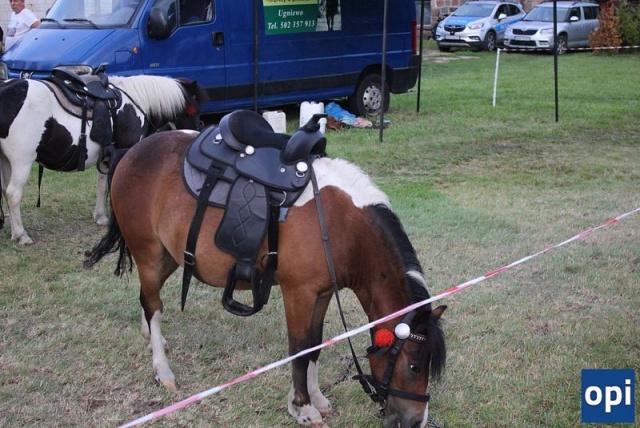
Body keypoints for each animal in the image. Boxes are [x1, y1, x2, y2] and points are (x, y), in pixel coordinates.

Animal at [0, 73, 207, 245]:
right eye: (195, 109)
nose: (198, 131)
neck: (135, 103)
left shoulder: (107, 159)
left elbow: (102, 186)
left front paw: (100, 217)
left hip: (6, 162)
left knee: (4, 192)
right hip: (22, 162)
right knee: (13, 194)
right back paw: (21, 235)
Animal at [85, 122, 446, 427]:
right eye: (414, 366)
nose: (416, 421)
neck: (341, 226)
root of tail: (133, 150)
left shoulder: (322, 292)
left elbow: (315, 345)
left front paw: (316, 398)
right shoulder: (298, 292)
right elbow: (299, 348)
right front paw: (302, 407)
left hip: (169, 256)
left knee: (147, 300)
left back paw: (152, 340)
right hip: (148, 253)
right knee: (153, 305)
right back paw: (162, 369)